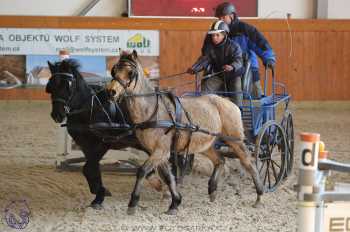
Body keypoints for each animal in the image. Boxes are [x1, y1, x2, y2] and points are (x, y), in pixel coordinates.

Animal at [108, 49, 264, 215]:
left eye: (130, 72)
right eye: (114, 70)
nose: (111, 91)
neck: (152, 110)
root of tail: (228, 102)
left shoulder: (161, 150)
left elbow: (142, 171)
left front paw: (133, 203)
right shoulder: (159, 152)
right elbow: (168, 177)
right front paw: (175, 203)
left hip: (235, 140)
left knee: (248, 161)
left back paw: (259, 195)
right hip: (205, 144)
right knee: (220, 160)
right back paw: (212, 190)